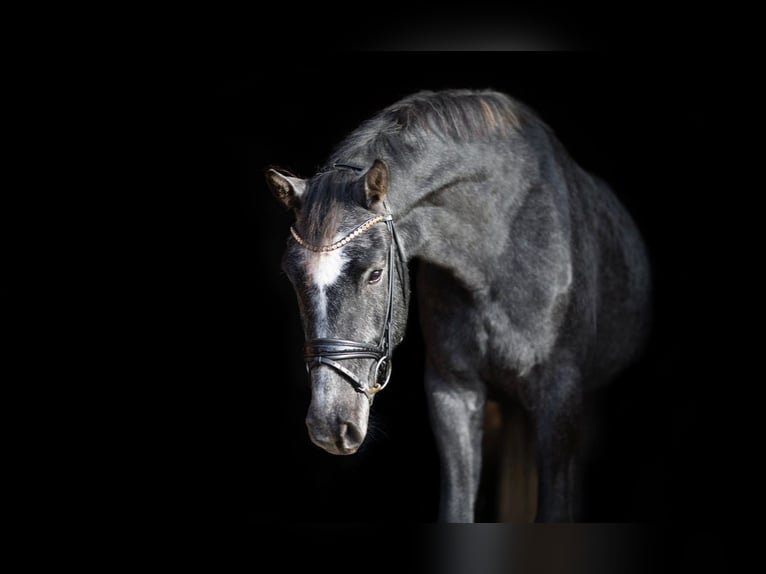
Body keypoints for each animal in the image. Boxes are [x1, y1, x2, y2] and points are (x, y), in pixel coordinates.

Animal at [265, 89, 651, 522]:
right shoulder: (453, 391)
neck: (498, 248)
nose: (331, 425)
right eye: (290, 276)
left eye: (376, 273)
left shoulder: (561, 397)